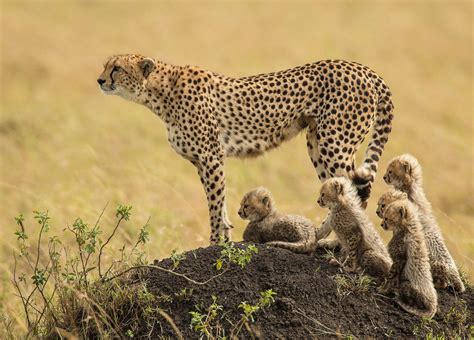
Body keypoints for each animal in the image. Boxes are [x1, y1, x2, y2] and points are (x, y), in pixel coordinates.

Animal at [96, 54, 392, 243]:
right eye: (106, 66)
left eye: (117, 68)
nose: (100, 80)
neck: (160, 92)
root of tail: (363, 68)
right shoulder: (202, 161)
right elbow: (218, 202)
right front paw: (225, 234)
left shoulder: (211, 156)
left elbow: (215, 202)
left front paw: (217, 241)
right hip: (317, 143)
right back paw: (320, 236)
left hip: (335, 143)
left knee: (354, 192)